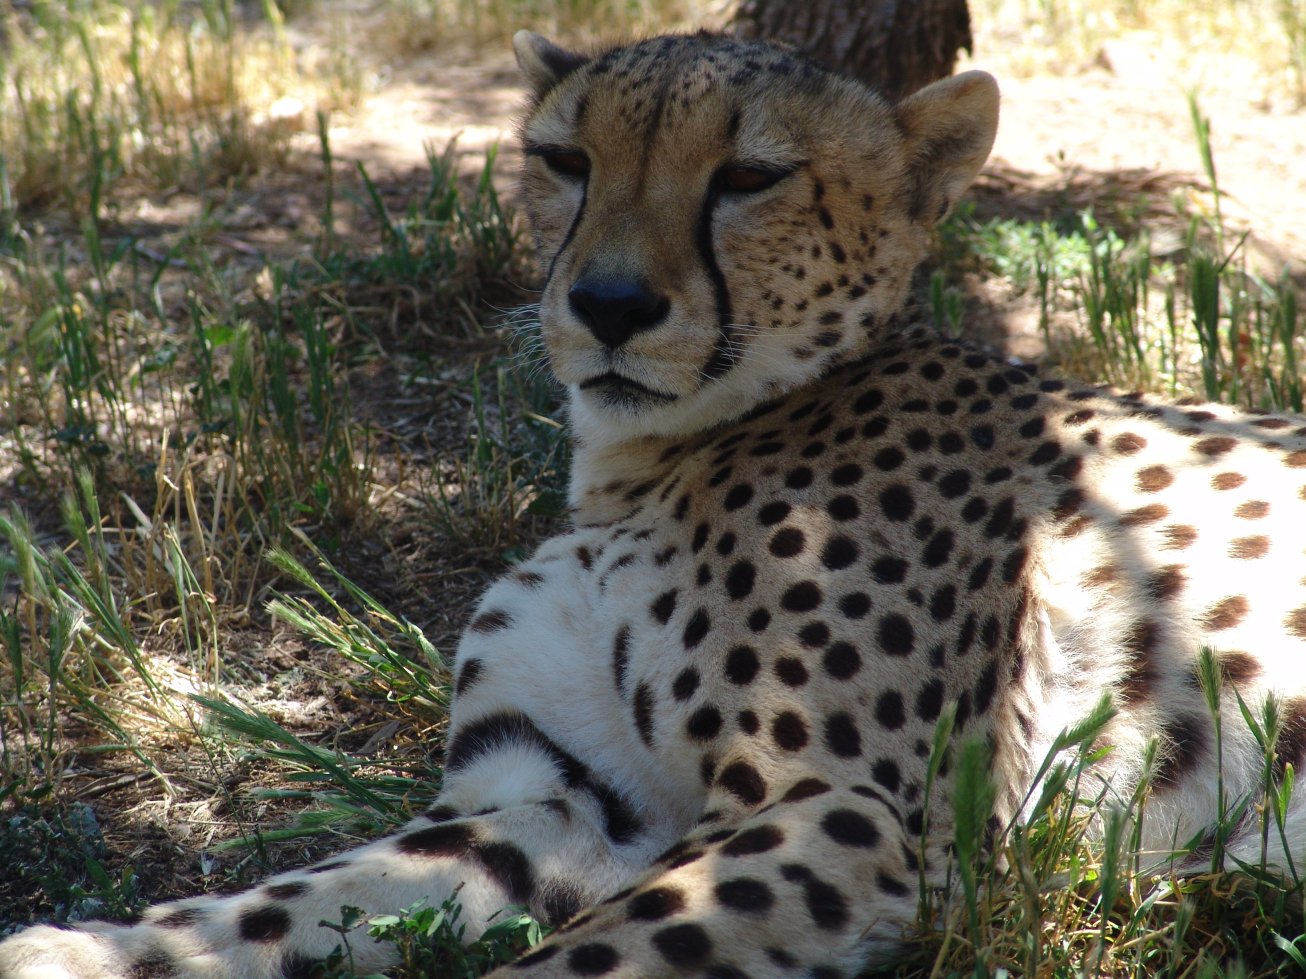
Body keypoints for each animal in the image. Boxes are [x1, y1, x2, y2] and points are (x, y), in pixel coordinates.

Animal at [5, 27, 1306, 979]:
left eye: (751, 177)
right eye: (563, 161)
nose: (611, 304)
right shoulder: (561, 792)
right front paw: (88, 949)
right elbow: (297, 895)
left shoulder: (861, 812)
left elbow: (572, 964)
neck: (646, 461)